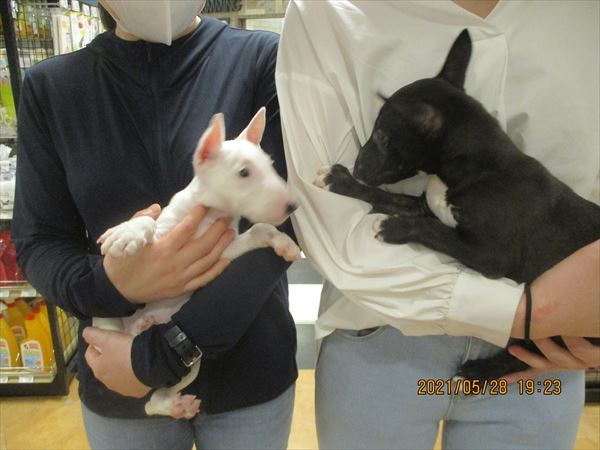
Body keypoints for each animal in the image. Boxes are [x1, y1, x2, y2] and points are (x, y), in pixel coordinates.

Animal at [94, 108, 300, 418]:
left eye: (271, 164)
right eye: (244, 172)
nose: (293, 206)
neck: (211, 213)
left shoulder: (223, 249)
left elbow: (259, 230)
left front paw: (284, 243)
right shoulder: (167, 225)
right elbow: (149, 220)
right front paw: (128, 231)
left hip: (190, 363)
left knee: (152, 402)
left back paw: (170, 398)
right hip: (102, 323)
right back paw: (139, 325)